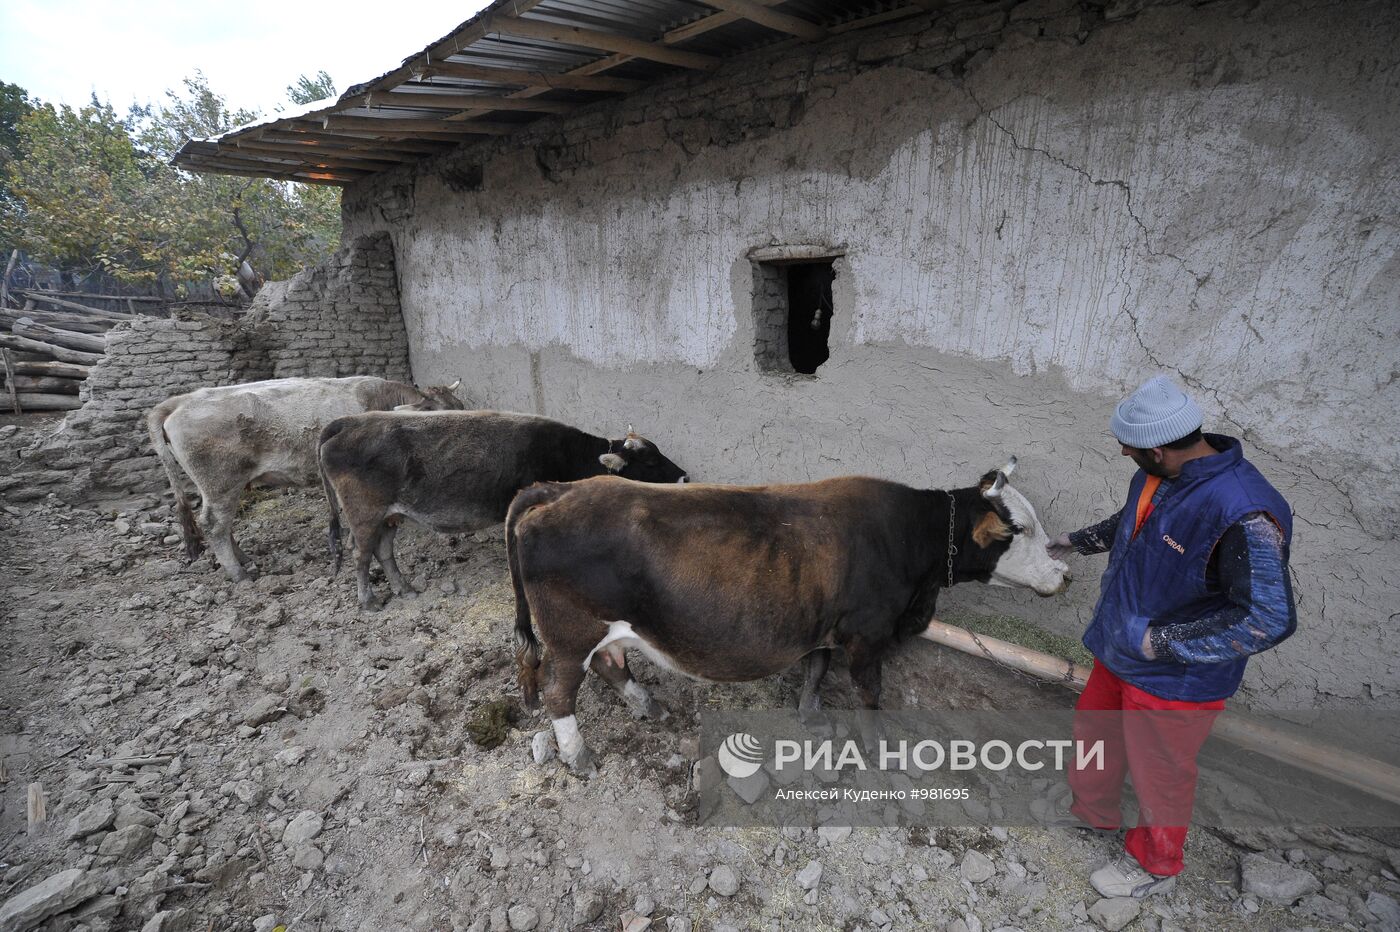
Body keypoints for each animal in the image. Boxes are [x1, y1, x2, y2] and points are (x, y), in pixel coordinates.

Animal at [148, 375, 464, 576]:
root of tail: (181, 401)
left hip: (217, 488)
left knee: (220, 525)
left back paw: (244, 559)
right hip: (221, 483)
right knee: (214, 524)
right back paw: (239, 573)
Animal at [319, 411, 688, 607]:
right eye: (650, 460)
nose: (684, 476)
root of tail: (348, 421)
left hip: (388, 517)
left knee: (383, 551)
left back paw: (404, 588)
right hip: (364, 514)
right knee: (360, 554)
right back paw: (368, 600)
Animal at [509, 456, 1064, 766]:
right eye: (1021, 529)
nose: (1064, 573)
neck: (905, 539)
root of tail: (561, 488)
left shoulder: (823, 625)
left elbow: (817, 669)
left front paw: (811, 716)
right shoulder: (867, 635)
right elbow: (870, 692)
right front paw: (877, 746)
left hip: (600, 630)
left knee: (609, 664)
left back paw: (648, 704)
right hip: (571, 632)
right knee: (559, 694)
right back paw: (579, 755)